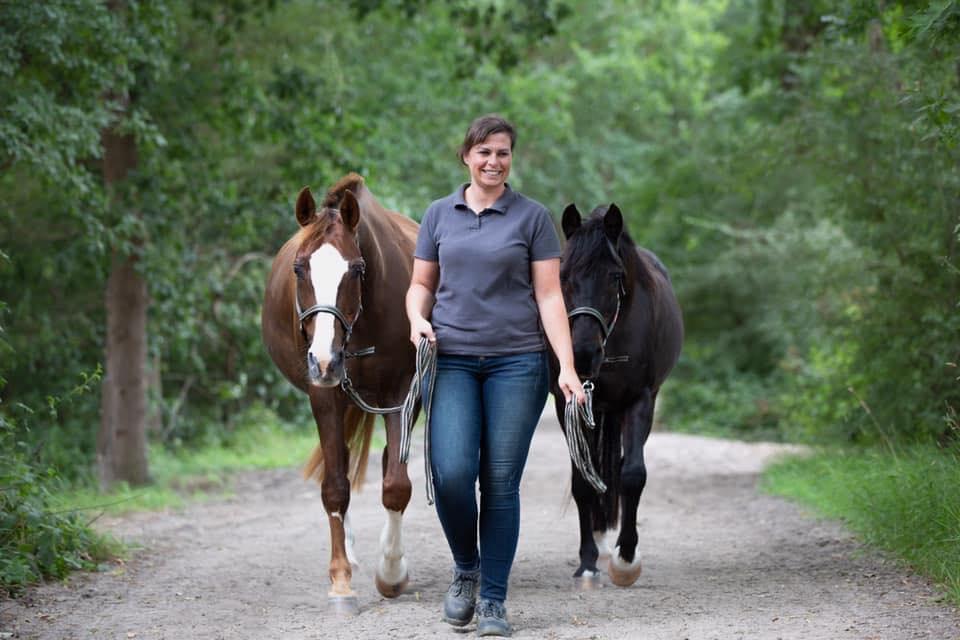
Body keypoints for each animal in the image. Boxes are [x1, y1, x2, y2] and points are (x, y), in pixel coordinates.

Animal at [260, 172, 418, 612]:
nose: (325, 359)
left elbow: (396, 484)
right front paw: (341, 581)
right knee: (342, 466)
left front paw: (392, 572)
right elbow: (334, 488)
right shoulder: (325, 395)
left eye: (357, 269)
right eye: (299, 268)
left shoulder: (401, 392)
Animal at [548, 205, 684, 592]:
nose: (581, 355)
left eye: (614, 276)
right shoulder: (567, 404)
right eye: (563, 274)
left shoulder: (640, 400)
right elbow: (583, 481)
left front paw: (626, 559)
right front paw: (587, 563)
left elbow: (632, 475)